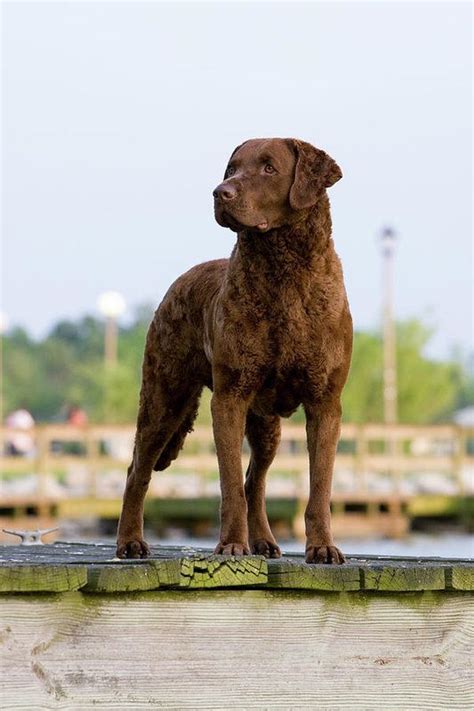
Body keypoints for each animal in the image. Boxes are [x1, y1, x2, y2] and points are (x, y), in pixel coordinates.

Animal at [115, 138, 352, 560]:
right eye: (231, 169)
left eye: (269, 168)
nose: (219, 192)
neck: (283, 276)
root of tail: (179, 282)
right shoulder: (229, 397)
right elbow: (228, 485)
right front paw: (230, 545)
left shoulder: (325, 402)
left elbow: (319, 488)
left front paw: (323, 548)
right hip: (164, 396)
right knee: (137, 470)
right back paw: (130, 542)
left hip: (266, 424)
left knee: (255, 478)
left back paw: (264, 541)